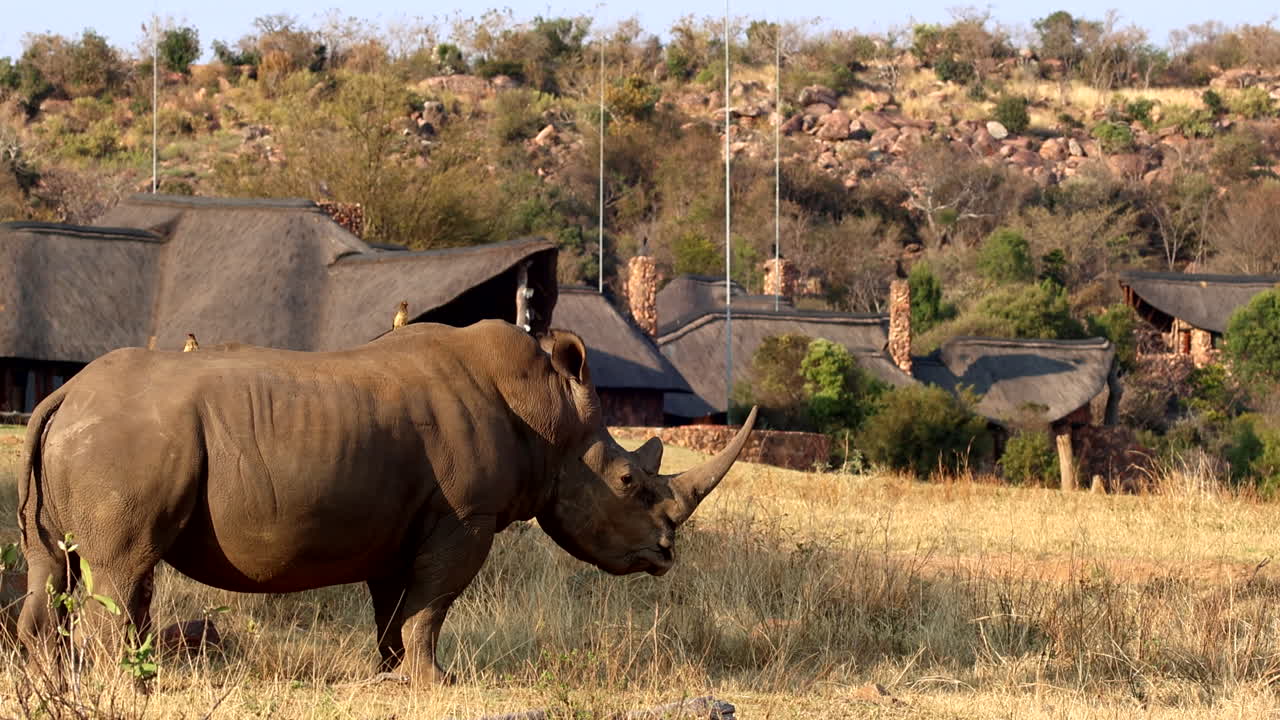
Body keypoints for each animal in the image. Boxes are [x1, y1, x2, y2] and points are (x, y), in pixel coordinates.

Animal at [18, 319, 757, 684]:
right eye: (630, 483)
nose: (665, 553)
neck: (549, 419)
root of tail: (63, 395)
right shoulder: (467, 517)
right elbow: (433, 602)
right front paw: (438, 684)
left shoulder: (400, 522)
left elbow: (395, 607)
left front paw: (392, 675)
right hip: (127, 442)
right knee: (123, 568)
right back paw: (130, 690)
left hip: (94, 438)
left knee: (58, 570)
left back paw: (58, 686)